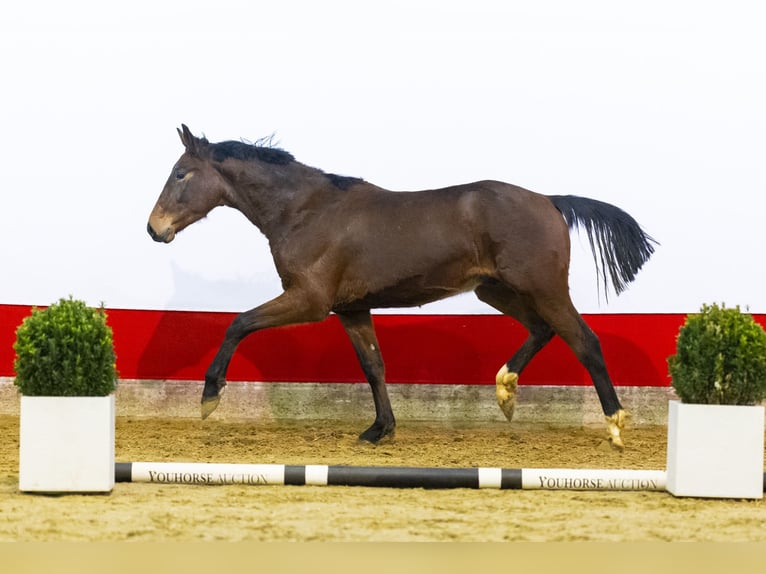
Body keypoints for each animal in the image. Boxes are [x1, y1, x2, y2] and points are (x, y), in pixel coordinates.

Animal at [150, 125, 660, 450]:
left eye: (180, 173)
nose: (155, 229)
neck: (305, 211)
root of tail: (550, 201)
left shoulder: (309, 301)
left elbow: (237, 323)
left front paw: (209, 398)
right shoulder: (351, 309)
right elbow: (374, 366)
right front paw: (380, 430)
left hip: (544, 288)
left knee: (584, 341)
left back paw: (615, 425)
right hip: (495, 291)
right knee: (543, 330)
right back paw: (505, 391)